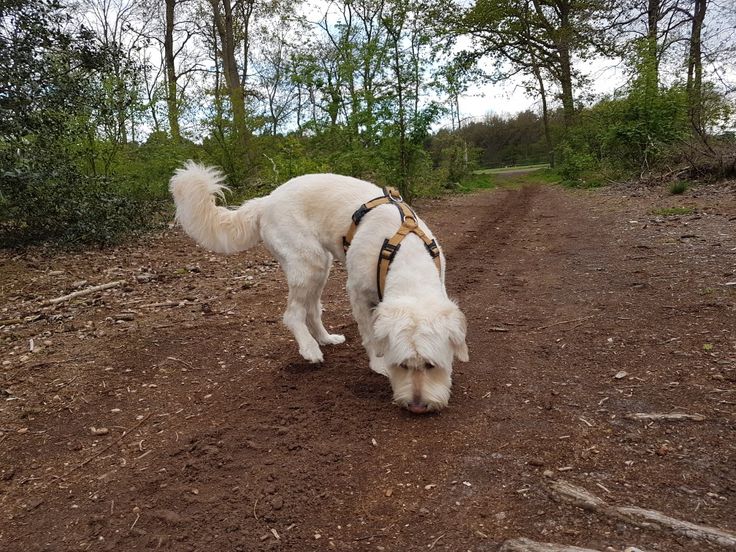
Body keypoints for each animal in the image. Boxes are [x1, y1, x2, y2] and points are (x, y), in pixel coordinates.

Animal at [170, 162, 468, 412]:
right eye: (402, 365)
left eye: (431, 365)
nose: (417, 406)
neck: (404, 257)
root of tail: (266, 201)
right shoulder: (357, 295)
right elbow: (370, 335)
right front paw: (378, 364)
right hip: (307, 263)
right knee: (293, 314)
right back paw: (310, 348)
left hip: (320, 266)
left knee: (312, 310)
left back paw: (325, 339)